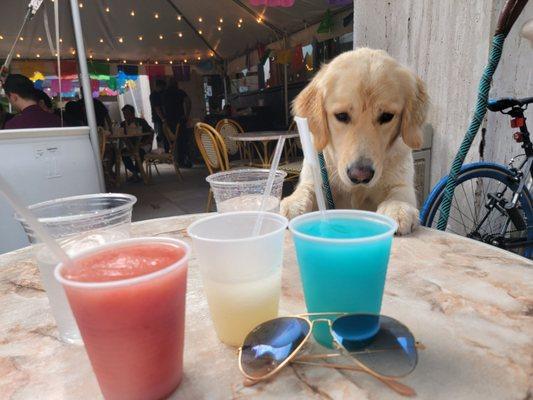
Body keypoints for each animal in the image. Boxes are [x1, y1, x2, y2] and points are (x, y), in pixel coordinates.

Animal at [282, 47, 428, 234]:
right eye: (341, 116)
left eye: (387, 116)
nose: (360, 176)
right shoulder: (314, 175)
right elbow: (307, 189)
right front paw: (294, 203)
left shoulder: (402, 182)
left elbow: (400, 193)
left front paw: (397, 208)